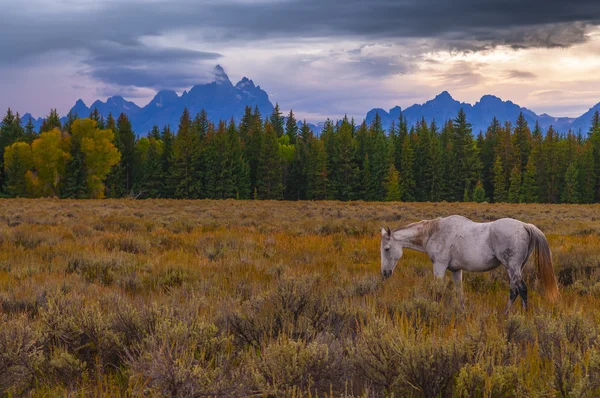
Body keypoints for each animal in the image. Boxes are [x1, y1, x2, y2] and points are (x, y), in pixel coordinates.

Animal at [382, 216, 560, 312]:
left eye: (386, 248)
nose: (384, 273)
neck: (433, 232)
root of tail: (524, 225)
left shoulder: (439, 267)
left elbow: (437, 292)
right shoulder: (456, 270)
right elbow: (459, 292)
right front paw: (462, 311)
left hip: (512, 267)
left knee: (521, 289)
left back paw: (520, 315)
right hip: (517, 268)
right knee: (514, 290)